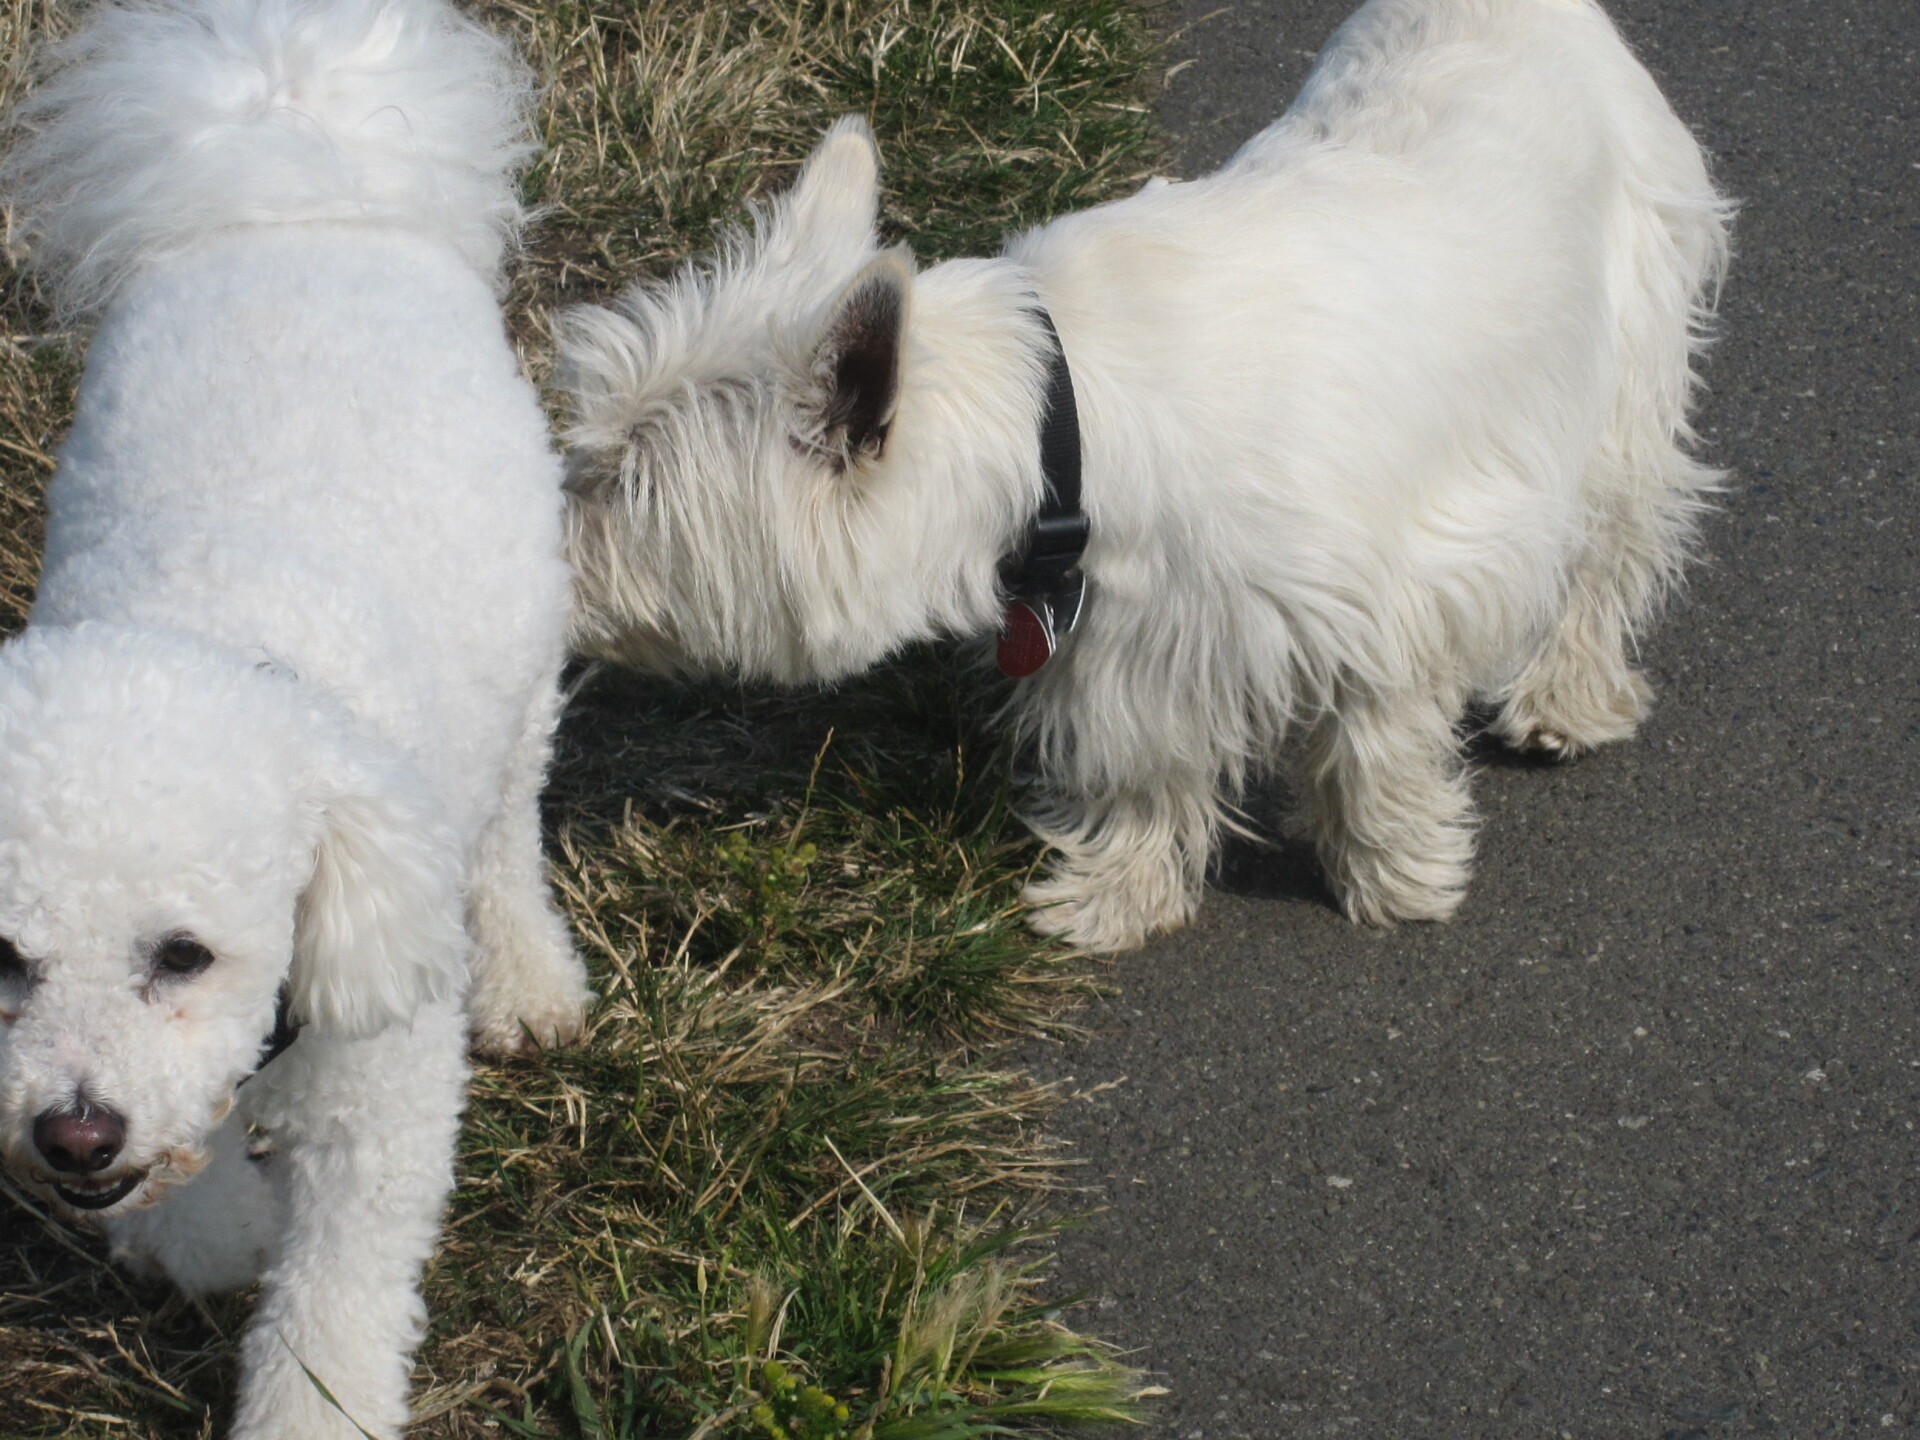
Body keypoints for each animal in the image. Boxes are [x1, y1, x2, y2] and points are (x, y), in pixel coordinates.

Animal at [0, 0, 589, 1434]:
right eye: (2, 960)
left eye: (184, 953)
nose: (71, 1136)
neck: (210, 631)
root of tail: (305, 176)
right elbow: (195, 1200)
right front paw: (218, 1233)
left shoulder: (378, 1093)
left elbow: (336, 1299)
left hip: (524, 659)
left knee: (506, 825)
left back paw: (527, 974)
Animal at [558, 0, 1732, 953]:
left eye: (628, 485)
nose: (541, 566)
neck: (1059, 418)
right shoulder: (1126, 635)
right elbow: (1142, 761)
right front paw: (1120, 894)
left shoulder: (1394, 591)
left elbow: (1377, 744)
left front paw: (1396, 876)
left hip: (1626, 359)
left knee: (1612, 541)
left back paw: (1565, 699)